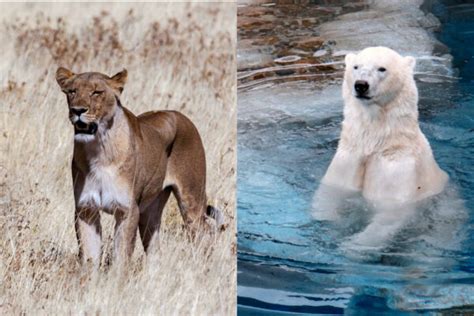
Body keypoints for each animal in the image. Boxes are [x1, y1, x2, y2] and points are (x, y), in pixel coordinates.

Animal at [312, 47, 450, 249]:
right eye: (356, 66)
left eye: (382, 68)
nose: (361, 85)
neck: (378, 143)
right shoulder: (348, 157)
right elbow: (330, 194)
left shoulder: (396, 170)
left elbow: (389, 215)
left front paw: (352, 245)